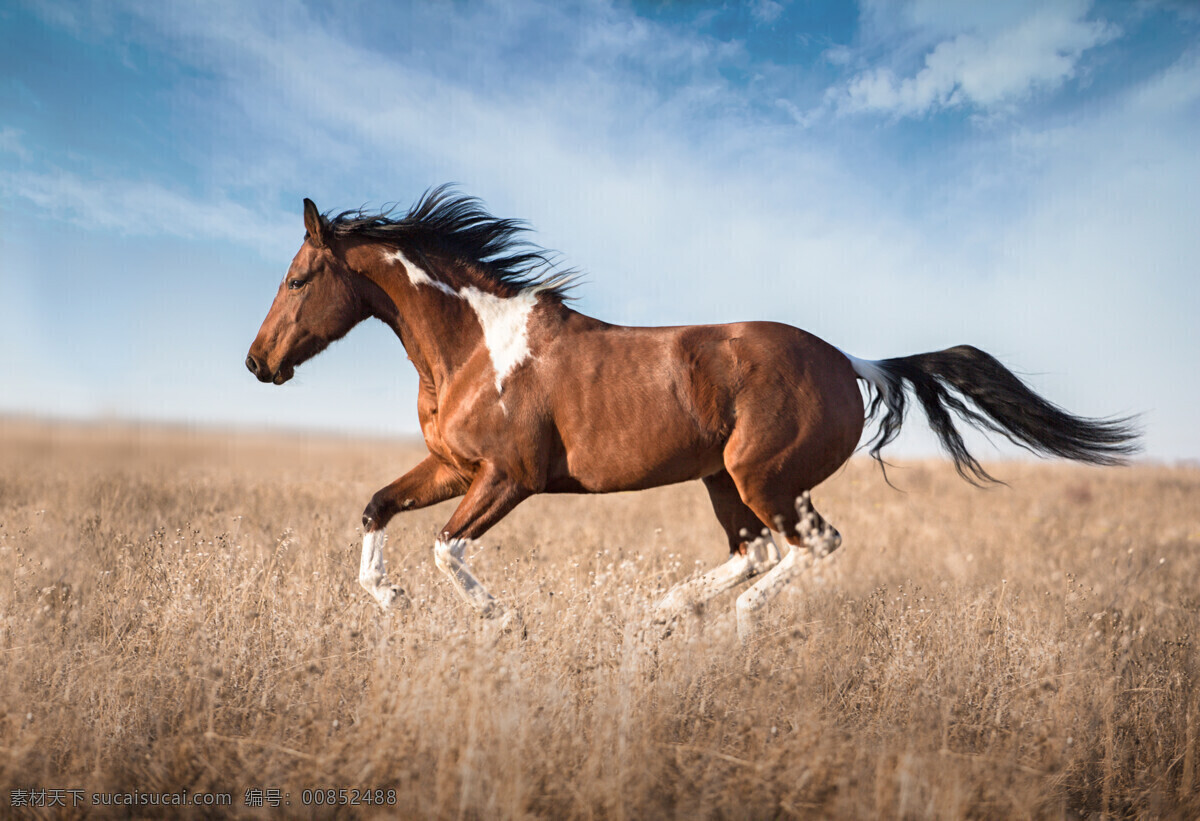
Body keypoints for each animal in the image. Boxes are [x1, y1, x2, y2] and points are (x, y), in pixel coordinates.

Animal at [246, 186, 1132, 633]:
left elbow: (445, 548)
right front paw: (388, 599)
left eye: (297, 277)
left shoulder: (508, 476)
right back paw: (664, 609)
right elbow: (376, 506)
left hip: (762, 475)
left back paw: (732, 621)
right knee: (756, 550)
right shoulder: (451, 465)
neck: (475, 345)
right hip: (722, 479)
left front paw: (503, 621)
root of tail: (852, 362)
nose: (258, 363)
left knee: (808, 546)